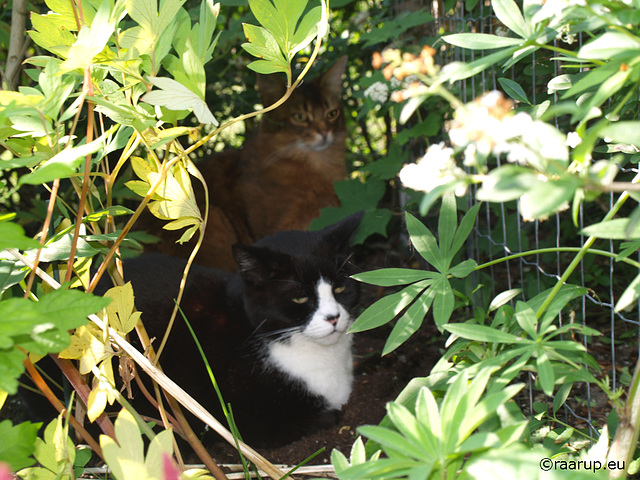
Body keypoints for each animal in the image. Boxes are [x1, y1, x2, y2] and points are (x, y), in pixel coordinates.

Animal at [125, 214, 362, 446]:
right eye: (300, 298)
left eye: (340, 288)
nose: (333, 317)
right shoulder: (245, 421)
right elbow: (318, 419)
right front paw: (329, 416)